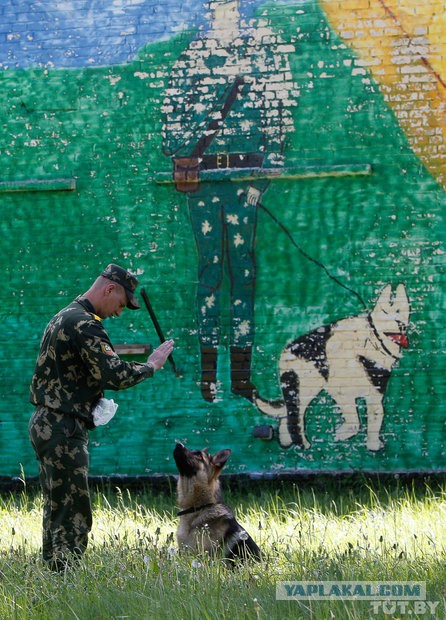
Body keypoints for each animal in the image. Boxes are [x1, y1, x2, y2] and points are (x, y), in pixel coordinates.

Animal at [254, 284, 412, 450]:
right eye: (385, 312)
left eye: (400, 312)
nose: (400, 324)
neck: (373, 341)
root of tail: (287, 351)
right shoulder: (360, 393)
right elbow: (371, 419)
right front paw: (372, 445)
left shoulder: (346, 392)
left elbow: (357, 420)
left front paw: (346, 434)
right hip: (305, 389)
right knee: (295, 420)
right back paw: (303, 445)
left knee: (288, 415)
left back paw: (285, 441)